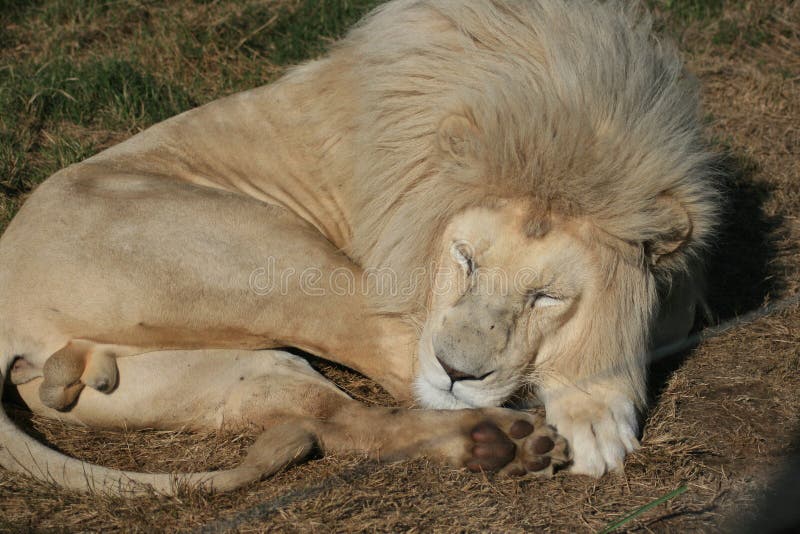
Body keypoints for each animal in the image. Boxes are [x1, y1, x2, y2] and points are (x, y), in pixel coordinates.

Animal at [0, 0, 720, 498]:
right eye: (465, 259)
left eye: (545, 296)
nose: (458, 370)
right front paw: (595, 409)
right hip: (283, 264)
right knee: (395, 374)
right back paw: (504, 437)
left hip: (211, 371)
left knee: (338, 420)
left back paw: (496, 446)